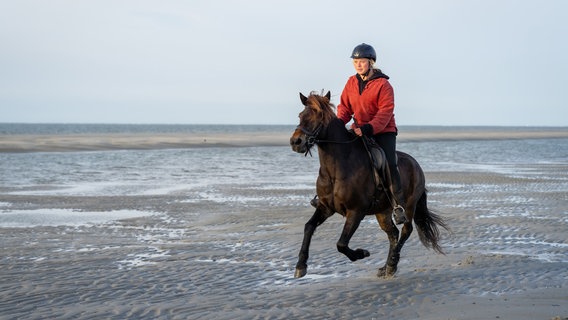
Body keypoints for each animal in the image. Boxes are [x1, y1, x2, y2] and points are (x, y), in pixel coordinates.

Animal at [288, 90, 448, 278]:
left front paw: (362, 253)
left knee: (405, 231)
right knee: (393, 234)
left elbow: (341, 244)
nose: (296, 142)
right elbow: (309, 227)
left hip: (409, 206)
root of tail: (416, 165)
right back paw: (386, 266)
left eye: (319, 116)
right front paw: (301, 265)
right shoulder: (325, 207)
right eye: (301, 115)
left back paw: (392, 264)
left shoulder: (356, 211)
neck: (336, 169)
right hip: (382, 212)